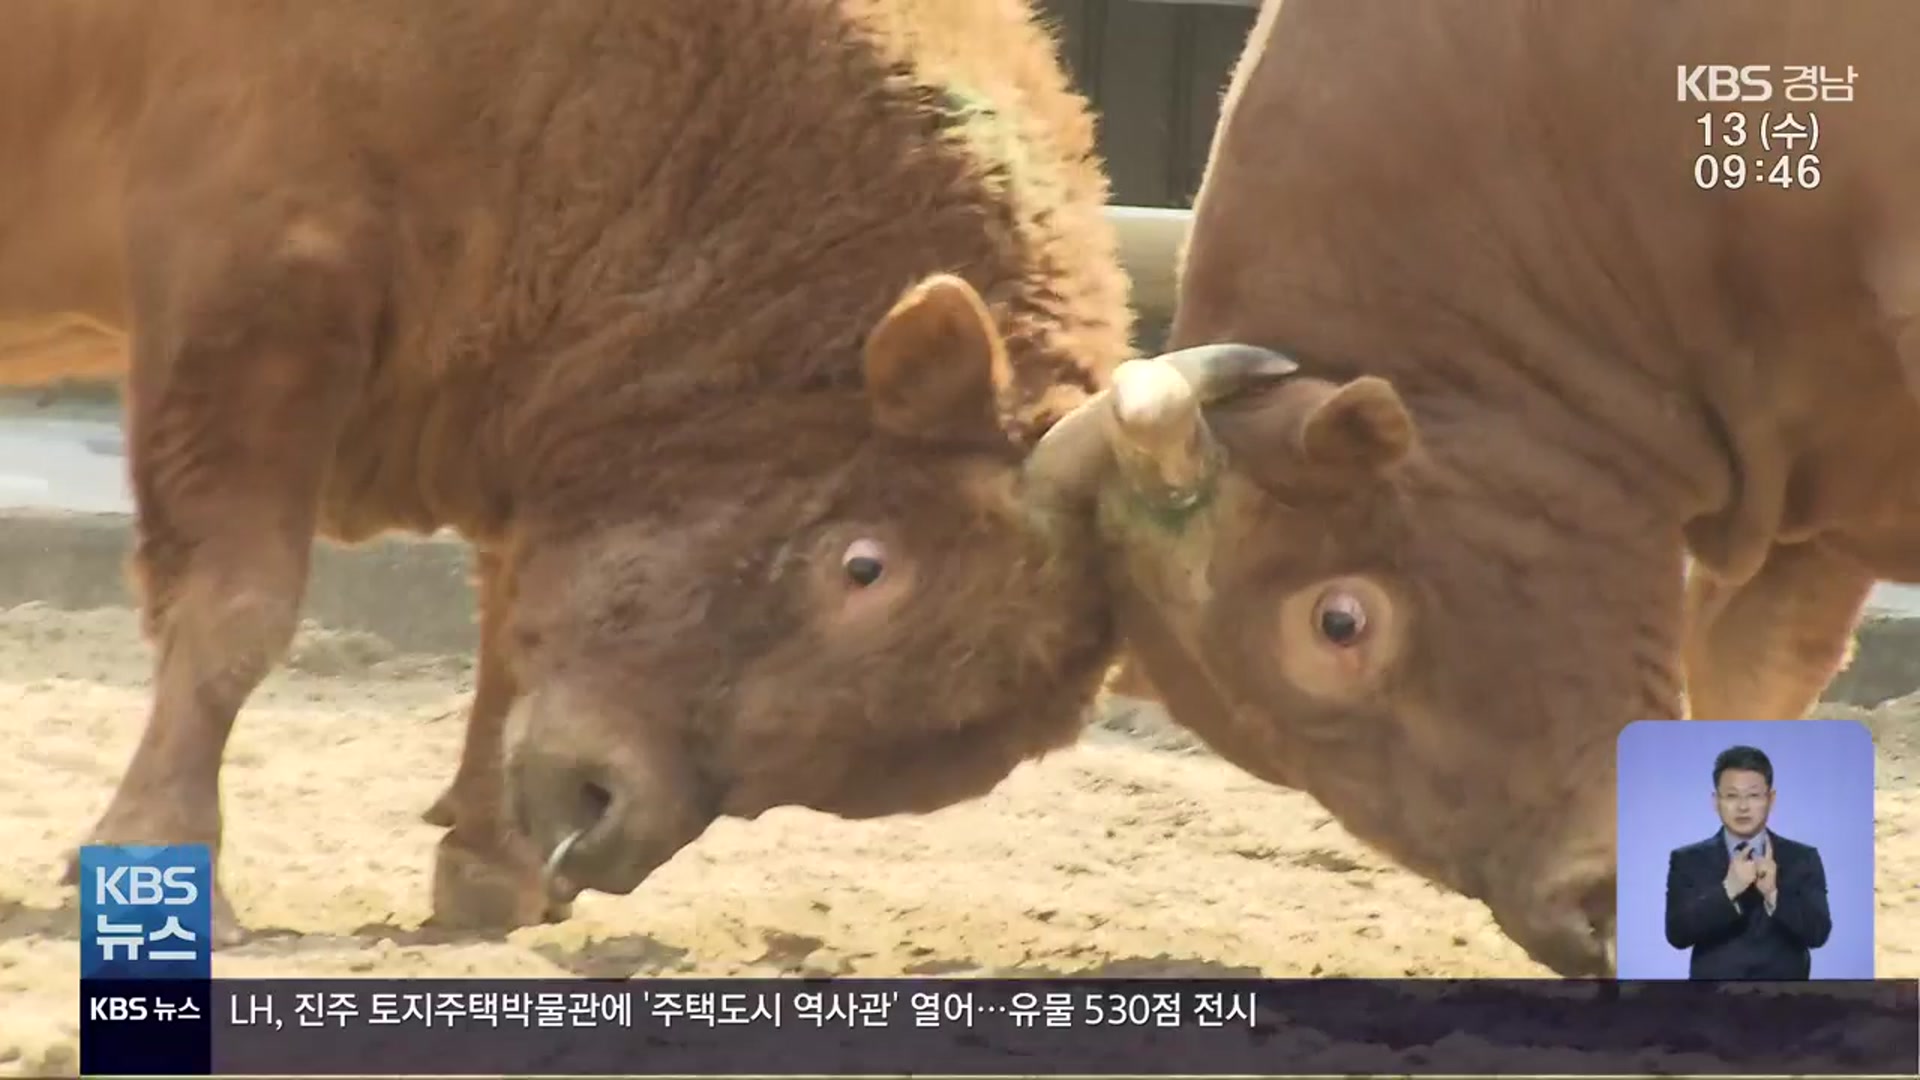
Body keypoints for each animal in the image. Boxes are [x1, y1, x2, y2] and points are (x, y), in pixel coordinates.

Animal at [3, 0, 1290, 937]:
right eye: (864, 564)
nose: (605, 817)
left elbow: (510, 629)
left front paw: (494, 872)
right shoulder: (255, 296)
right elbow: (238, 613)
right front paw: (159, 861)